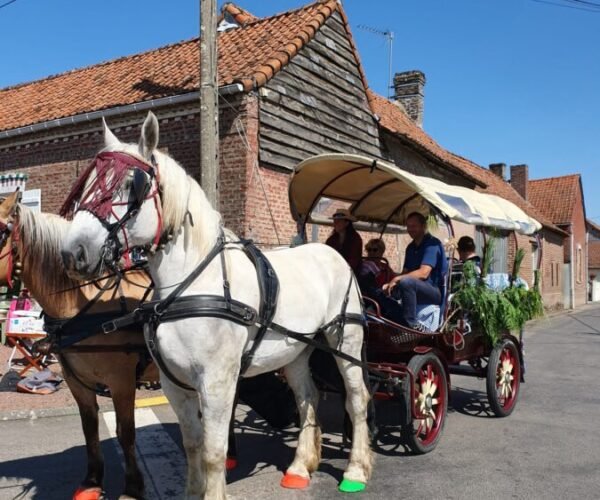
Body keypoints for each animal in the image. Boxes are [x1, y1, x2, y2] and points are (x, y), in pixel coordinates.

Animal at [0, 189, 157, 498]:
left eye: (1, 232)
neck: (82, 306)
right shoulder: (77, 381)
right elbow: (90, 427)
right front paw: (92, 481)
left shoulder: (121, 381)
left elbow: (125, 433)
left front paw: (133, 487)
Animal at [61, 113, 370, 500]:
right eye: (86, 184)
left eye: (133, 185)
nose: (74, 252)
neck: (193, 284)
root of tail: (333, 254)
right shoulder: (174, 383)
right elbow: (192, 445)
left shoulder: (217, 381)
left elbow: (213, 451)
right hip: (296, 351)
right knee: (307, 398)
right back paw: (299, 468)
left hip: (346, 341)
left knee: (357, 399)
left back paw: (356, 471)